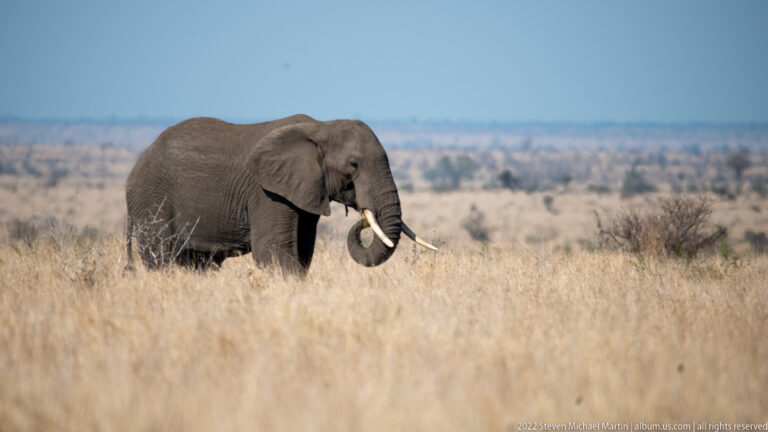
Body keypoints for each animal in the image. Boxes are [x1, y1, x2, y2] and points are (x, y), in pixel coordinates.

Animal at [125, 114, 436, 276]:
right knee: (161, 256)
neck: (321, 127)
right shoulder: (267, 190)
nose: (362, 214)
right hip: (152, 200)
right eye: (353, 165)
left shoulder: (306, 190)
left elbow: (303, 252)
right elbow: (273, 250)